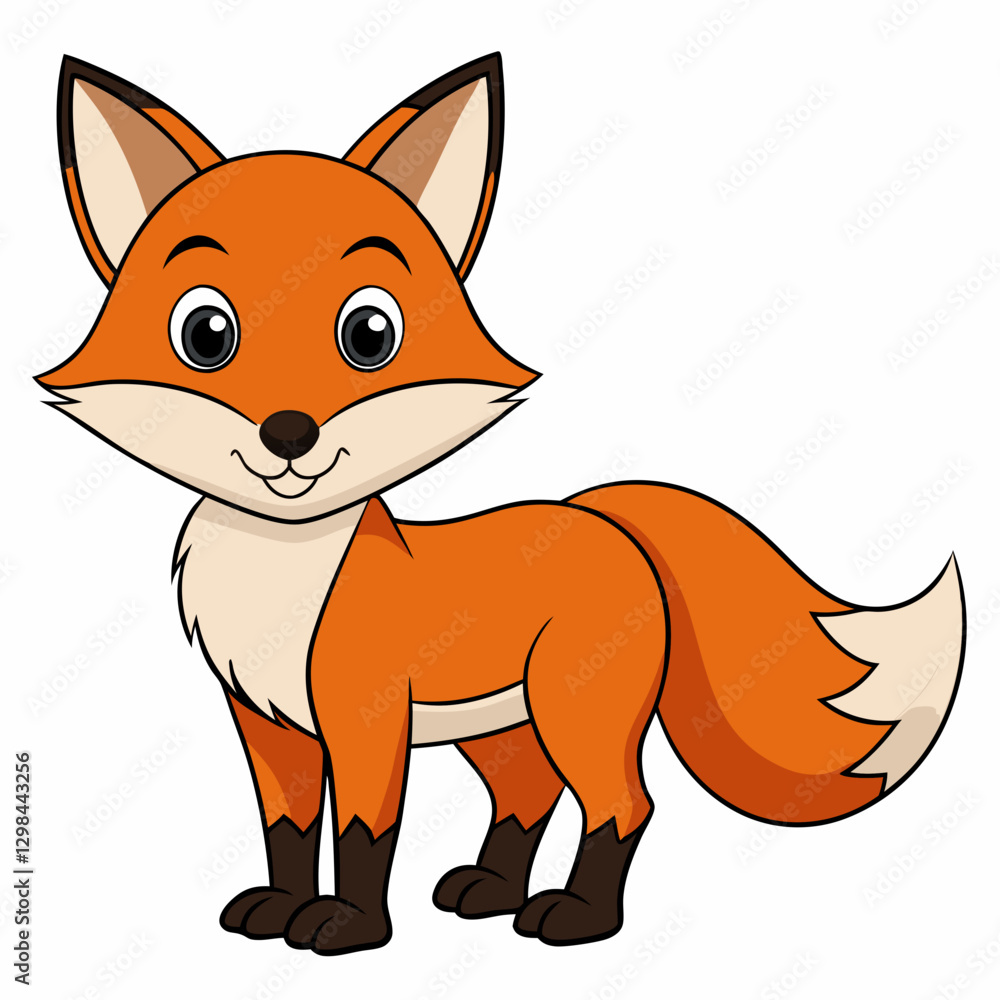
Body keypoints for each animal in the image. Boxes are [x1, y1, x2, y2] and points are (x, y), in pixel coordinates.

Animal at [40, 53, 966, 955]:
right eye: (206, 334)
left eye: (370, 335)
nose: (289, 433)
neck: (282, 575)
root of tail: (601, 515)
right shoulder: (269, 725)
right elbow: (288, 831)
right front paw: (280, 908)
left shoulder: (367, 718)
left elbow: (365, 832)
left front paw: (350, 930)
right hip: (499, 727)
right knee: (529, 793)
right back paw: (488, 892)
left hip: (572, 709)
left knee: (623, 804)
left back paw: (577, 918)